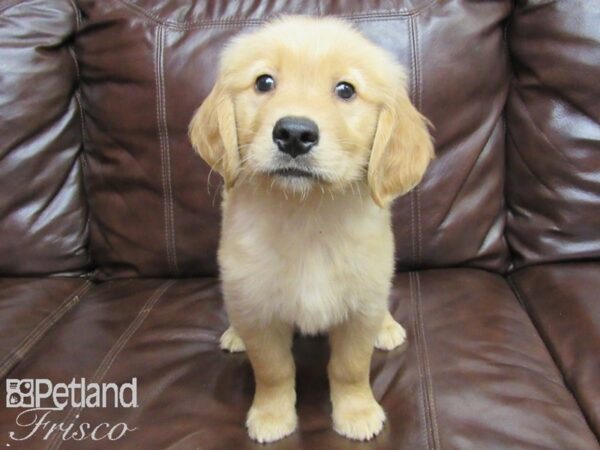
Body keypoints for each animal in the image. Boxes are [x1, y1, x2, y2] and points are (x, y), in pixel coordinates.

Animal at [190, 15, 434, 444]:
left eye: (345, 90)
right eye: (264, 82)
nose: (293, 133)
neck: (307, 215)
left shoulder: (360, 307)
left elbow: (350, 368)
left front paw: (357, 413)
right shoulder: (258, 308)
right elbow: (273, 370)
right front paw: (272, 416)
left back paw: (387, 327)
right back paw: (235, 333)